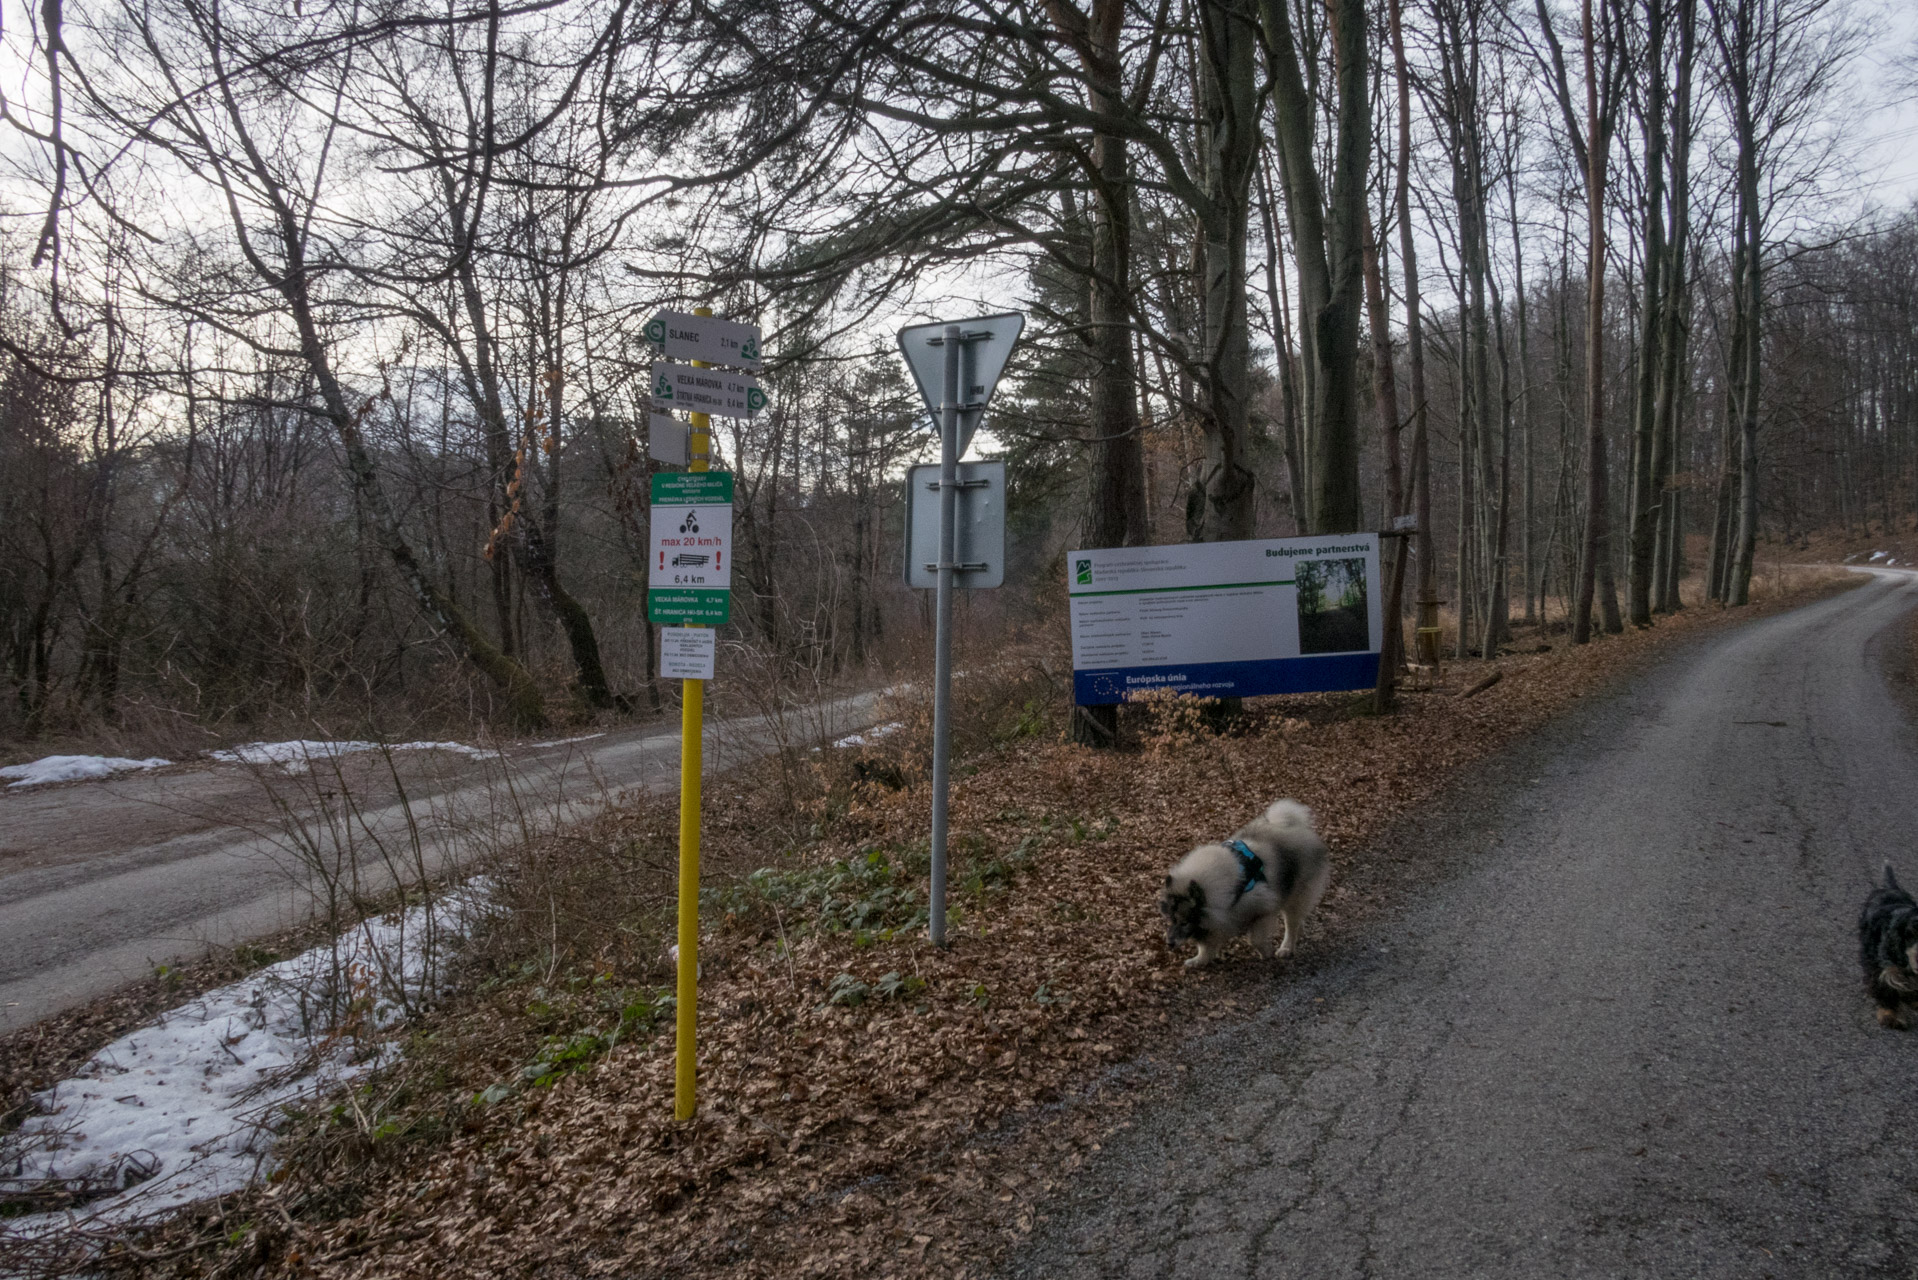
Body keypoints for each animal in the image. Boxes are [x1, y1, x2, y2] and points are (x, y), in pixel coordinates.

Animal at [1158, 794, 1327, 967]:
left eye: (1184, 922)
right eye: (1171, 920)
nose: (1169, 943)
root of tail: (1295, 826)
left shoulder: (1263, 909)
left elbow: (1255, 940)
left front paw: (1266, 953)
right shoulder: (1215, 923)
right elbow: (1206, 946)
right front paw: (1199, 960)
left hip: (1296, 895)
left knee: (1291, 924)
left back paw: (1286, 948)